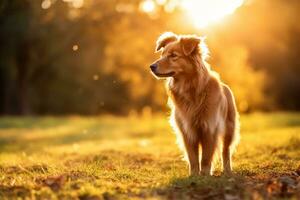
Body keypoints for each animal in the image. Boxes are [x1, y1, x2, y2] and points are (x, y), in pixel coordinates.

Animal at [151, 32, 240, 176]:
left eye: (173, 55)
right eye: (162, 55)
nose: (151, 66)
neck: (191, 89)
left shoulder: (209, 127)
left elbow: (206, 157)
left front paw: (204, 175)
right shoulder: (187, 130)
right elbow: (192, 157)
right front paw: (193, 175)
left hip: (229, 129)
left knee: (226, 151)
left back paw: (227, 171)